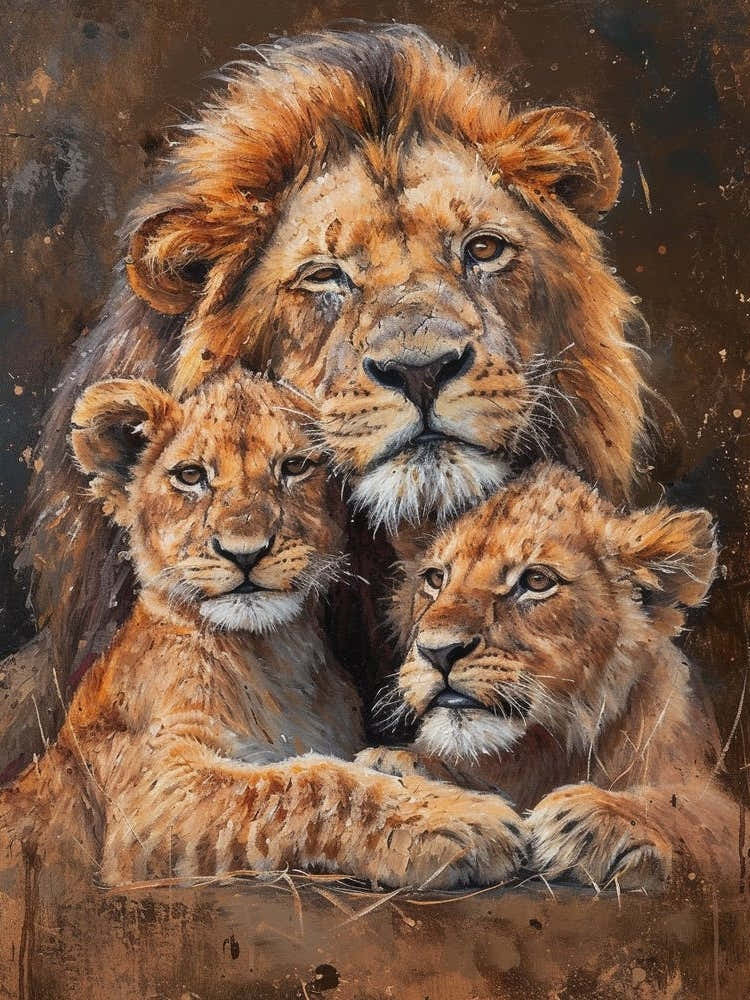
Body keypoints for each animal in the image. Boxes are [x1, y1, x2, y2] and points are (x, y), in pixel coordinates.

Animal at [1, 370, 527, 889]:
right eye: (190, 476)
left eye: (294, 466)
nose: (245, 552)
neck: (273, 656)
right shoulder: (149, 797)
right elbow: (306, 783)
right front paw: (453, 818)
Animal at [356, 463, 739, 890]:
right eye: (436, 579)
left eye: (537, 581)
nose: (438, 651)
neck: (547, 750)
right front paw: (399, 763)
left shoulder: (716, 799)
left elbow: (694, 815)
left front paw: (593, 820)